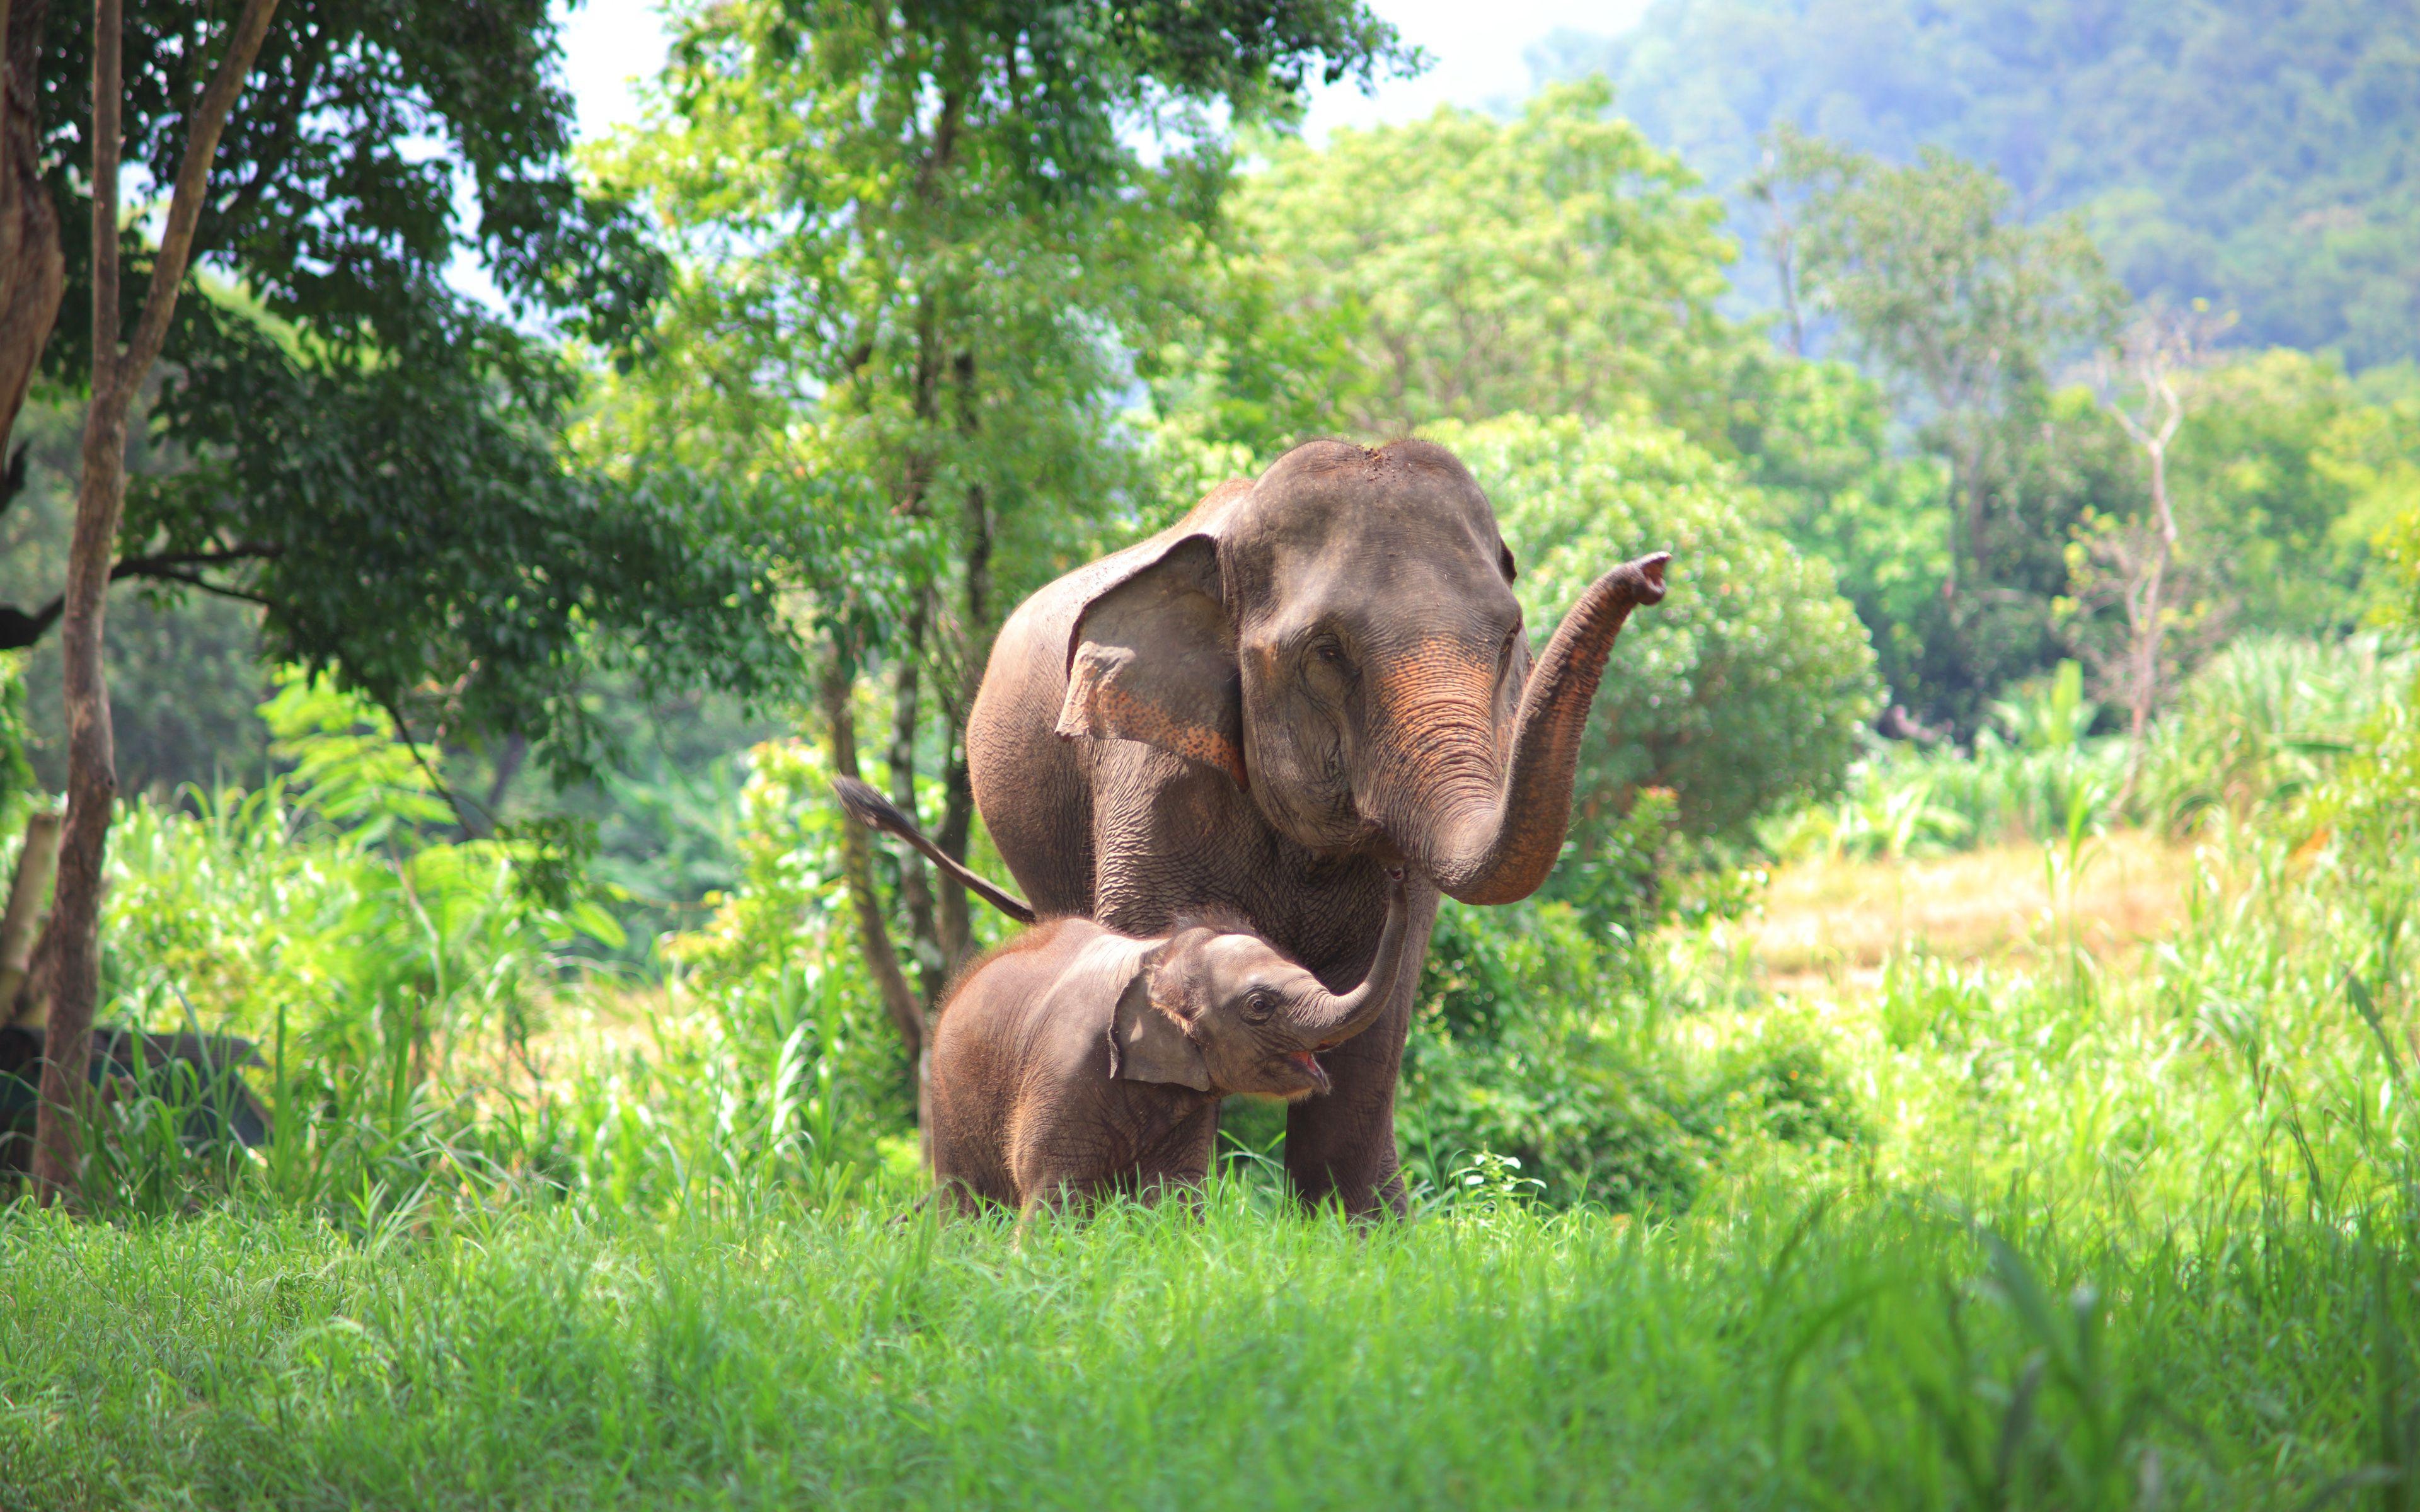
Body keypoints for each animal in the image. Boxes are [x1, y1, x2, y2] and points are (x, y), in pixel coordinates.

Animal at [927, 871, 1411, 1217]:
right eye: (1259, 1005)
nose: (1397, 874)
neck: (1161, 955)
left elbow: (1174, 1191)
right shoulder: (1062, 1071)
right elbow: (1051, 1187)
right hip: (949, 1100)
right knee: (965, 1201)